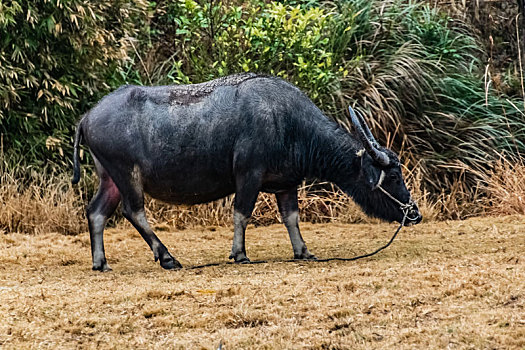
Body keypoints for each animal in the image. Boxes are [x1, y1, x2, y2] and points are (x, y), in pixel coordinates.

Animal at [70, 73, 422, 270]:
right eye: (393, 176)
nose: (414, 213)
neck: (291, 125)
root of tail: (87, 117)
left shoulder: (286, 184)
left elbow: (291, 217)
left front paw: (303, 251)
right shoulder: (248, 175)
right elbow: (242, 212)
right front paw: (239, 253)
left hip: (109, 178)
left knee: (97, 212)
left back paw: (100, 262)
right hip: (127, 174)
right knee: (134, 211)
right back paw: (168, 257)